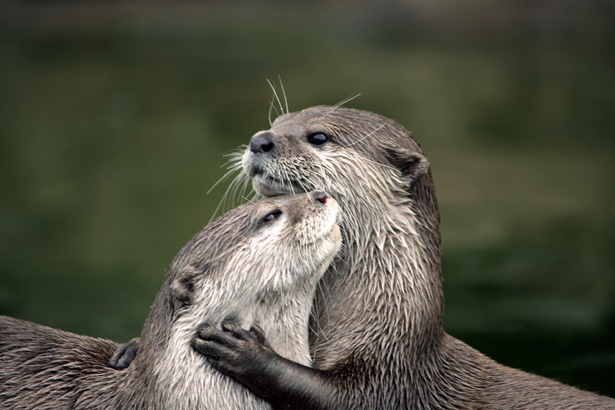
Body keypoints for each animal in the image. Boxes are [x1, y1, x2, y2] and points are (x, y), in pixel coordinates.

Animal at [189, 107, 615, 410]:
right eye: (276, 123)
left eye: (318, 137)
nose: (259, 140)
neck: (392, 310)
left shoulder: (391, 374)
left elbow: (341, 396)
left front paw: (247, 352)